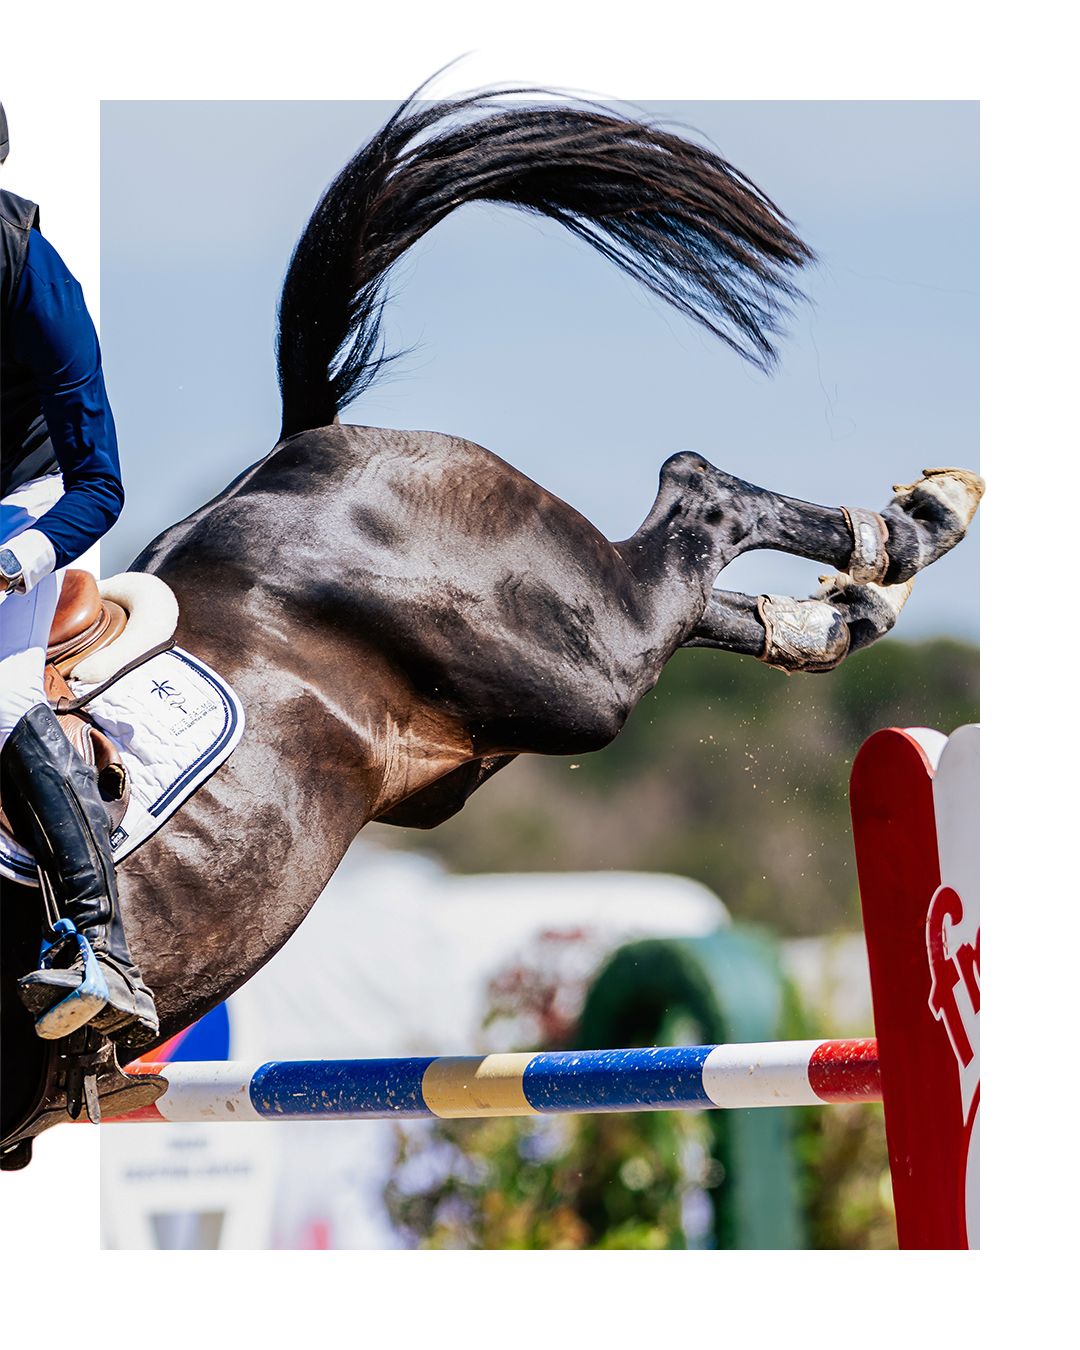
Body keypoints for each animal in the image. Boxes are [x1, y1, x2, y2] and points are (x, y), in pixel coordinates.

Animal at [0, 91, 982, 1165]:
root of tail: (305, 445)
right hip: (499, 717)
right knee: (694, 595)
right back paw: (848, 604)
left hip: (576, 669)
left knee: (697, 501)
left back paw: (910, 526)